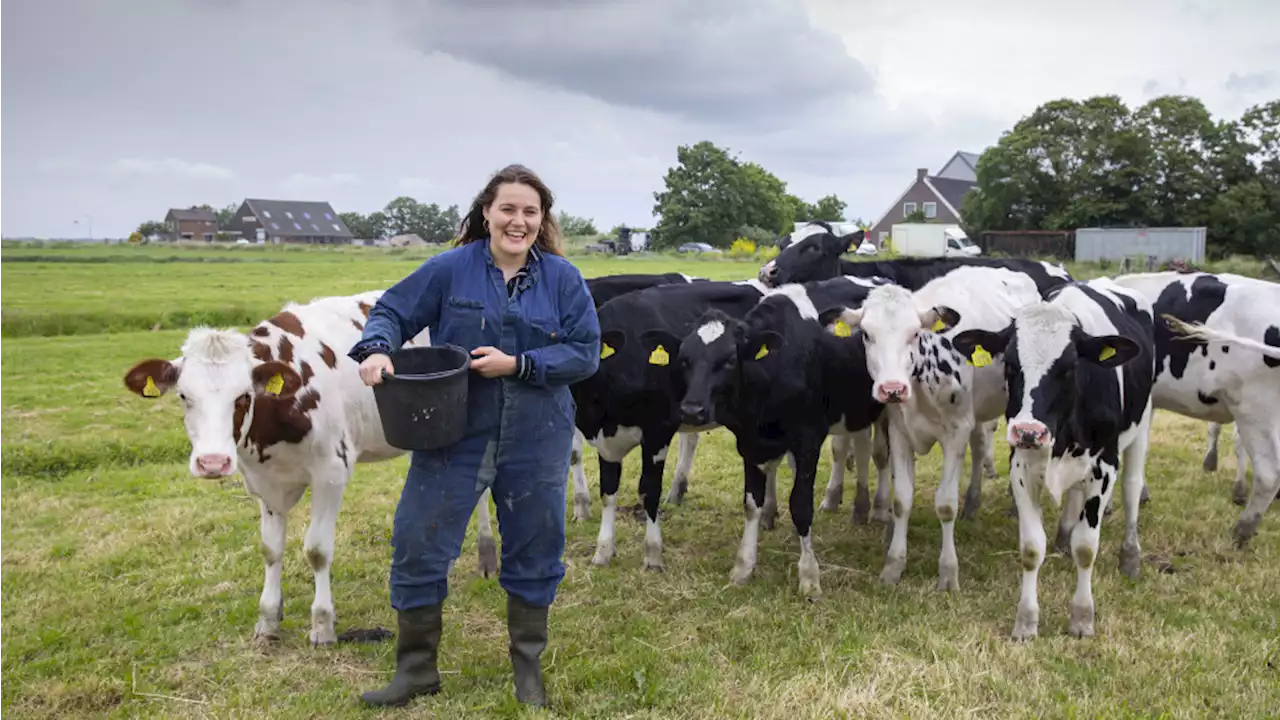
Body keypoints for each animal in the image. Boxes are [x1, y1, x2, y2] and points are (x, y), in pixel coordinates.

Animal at [122, 292, 496, 645]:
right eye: (184, 396)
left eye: (243, 396)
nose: (212, 462)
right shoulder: (263, 482)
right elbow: (270, 549)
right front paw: (268, 620)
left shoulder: (331, 472)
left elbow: (316, 550)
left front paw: (322, 624)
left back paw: (486, 557)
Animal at [650, 274, 890, 594]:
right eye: (684, 360)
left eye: (729, 360)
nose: (691, 410)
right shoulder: (749, 442)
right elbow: (752, 503)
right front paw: (743, 567)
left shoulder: (808, 439)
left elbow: (801, 506)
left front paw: (809, 577)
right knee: (859, 447)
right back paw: (859, 506)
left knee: (882, 455)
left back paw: (880, 508)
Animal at [824, 265, 1044, 589]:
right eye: (866, 335)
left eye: (915, 333)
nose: (892, 389)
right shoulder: (899, 432)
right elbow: (901, 500)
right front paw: (893, 565)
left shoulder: (956, 432)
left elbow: (946, 505)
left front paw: (948, 572)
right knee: (980, 447)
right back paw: (973, 504)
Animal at [952, 278, 1152, 635]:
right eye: (1010, 363)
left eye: (1070, 367)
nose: (1029, 431)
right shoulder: (1020, 467)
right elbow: (1032, 548)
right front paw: (1026, 621)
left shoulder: (1104, 468)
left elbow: (1086, 547)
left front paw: (1082, 618)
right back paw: (1063, 536)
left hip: (1141, 427)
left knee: (1131, 489)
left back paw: (1130, 557)